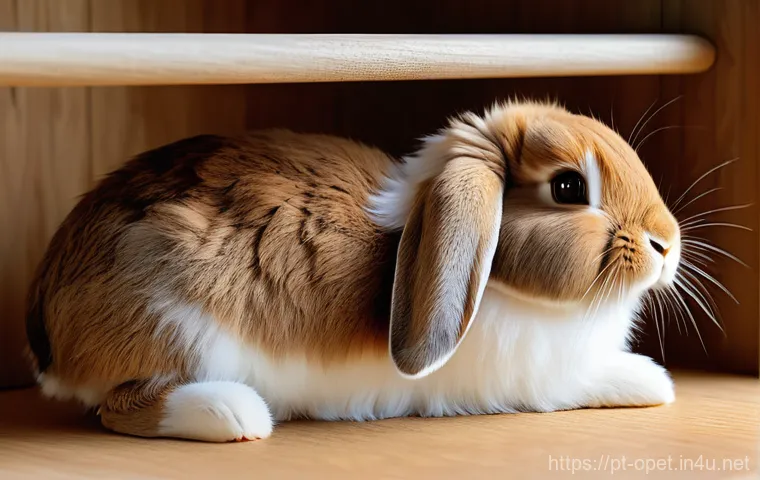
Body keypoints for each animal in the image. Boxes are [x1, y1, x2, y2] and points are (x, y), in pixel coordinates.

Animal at [25, 100, 680, 442]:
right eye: (569, 187)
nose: (667, 244)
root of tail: (48, 332)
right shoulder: (537, 379)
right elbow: (584, 380)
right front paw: (652, 381)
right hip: (177, 321)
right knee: (122, 407)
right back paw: (237, 415)